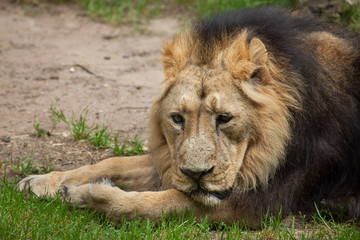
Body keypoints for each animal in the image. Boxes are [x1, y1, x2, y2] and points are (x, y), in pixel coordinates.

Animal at [18, 6, 360, 227]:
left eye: (224, 118)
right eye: (177, 119)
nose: (197, 174)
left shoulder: (259, 202)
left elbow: (156, 204)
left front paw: (87, 196)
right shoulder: (173, 160)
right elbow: (113, 162)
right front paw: (45, 182)